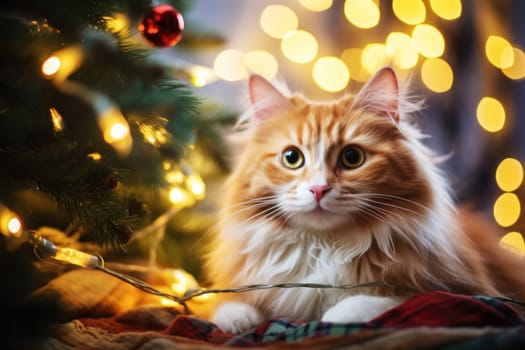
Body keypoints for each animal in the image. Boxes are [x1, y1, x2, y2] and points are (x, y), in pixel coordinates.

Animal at [202, 66, 524, 334]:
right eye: (292, 158)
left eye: (352, 157)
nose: (318, 189)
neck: (325, 247)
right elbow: (227, 303)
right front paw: (238, 318)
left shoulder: (469, 288)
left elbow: (396, 298)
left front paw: (336, 314)